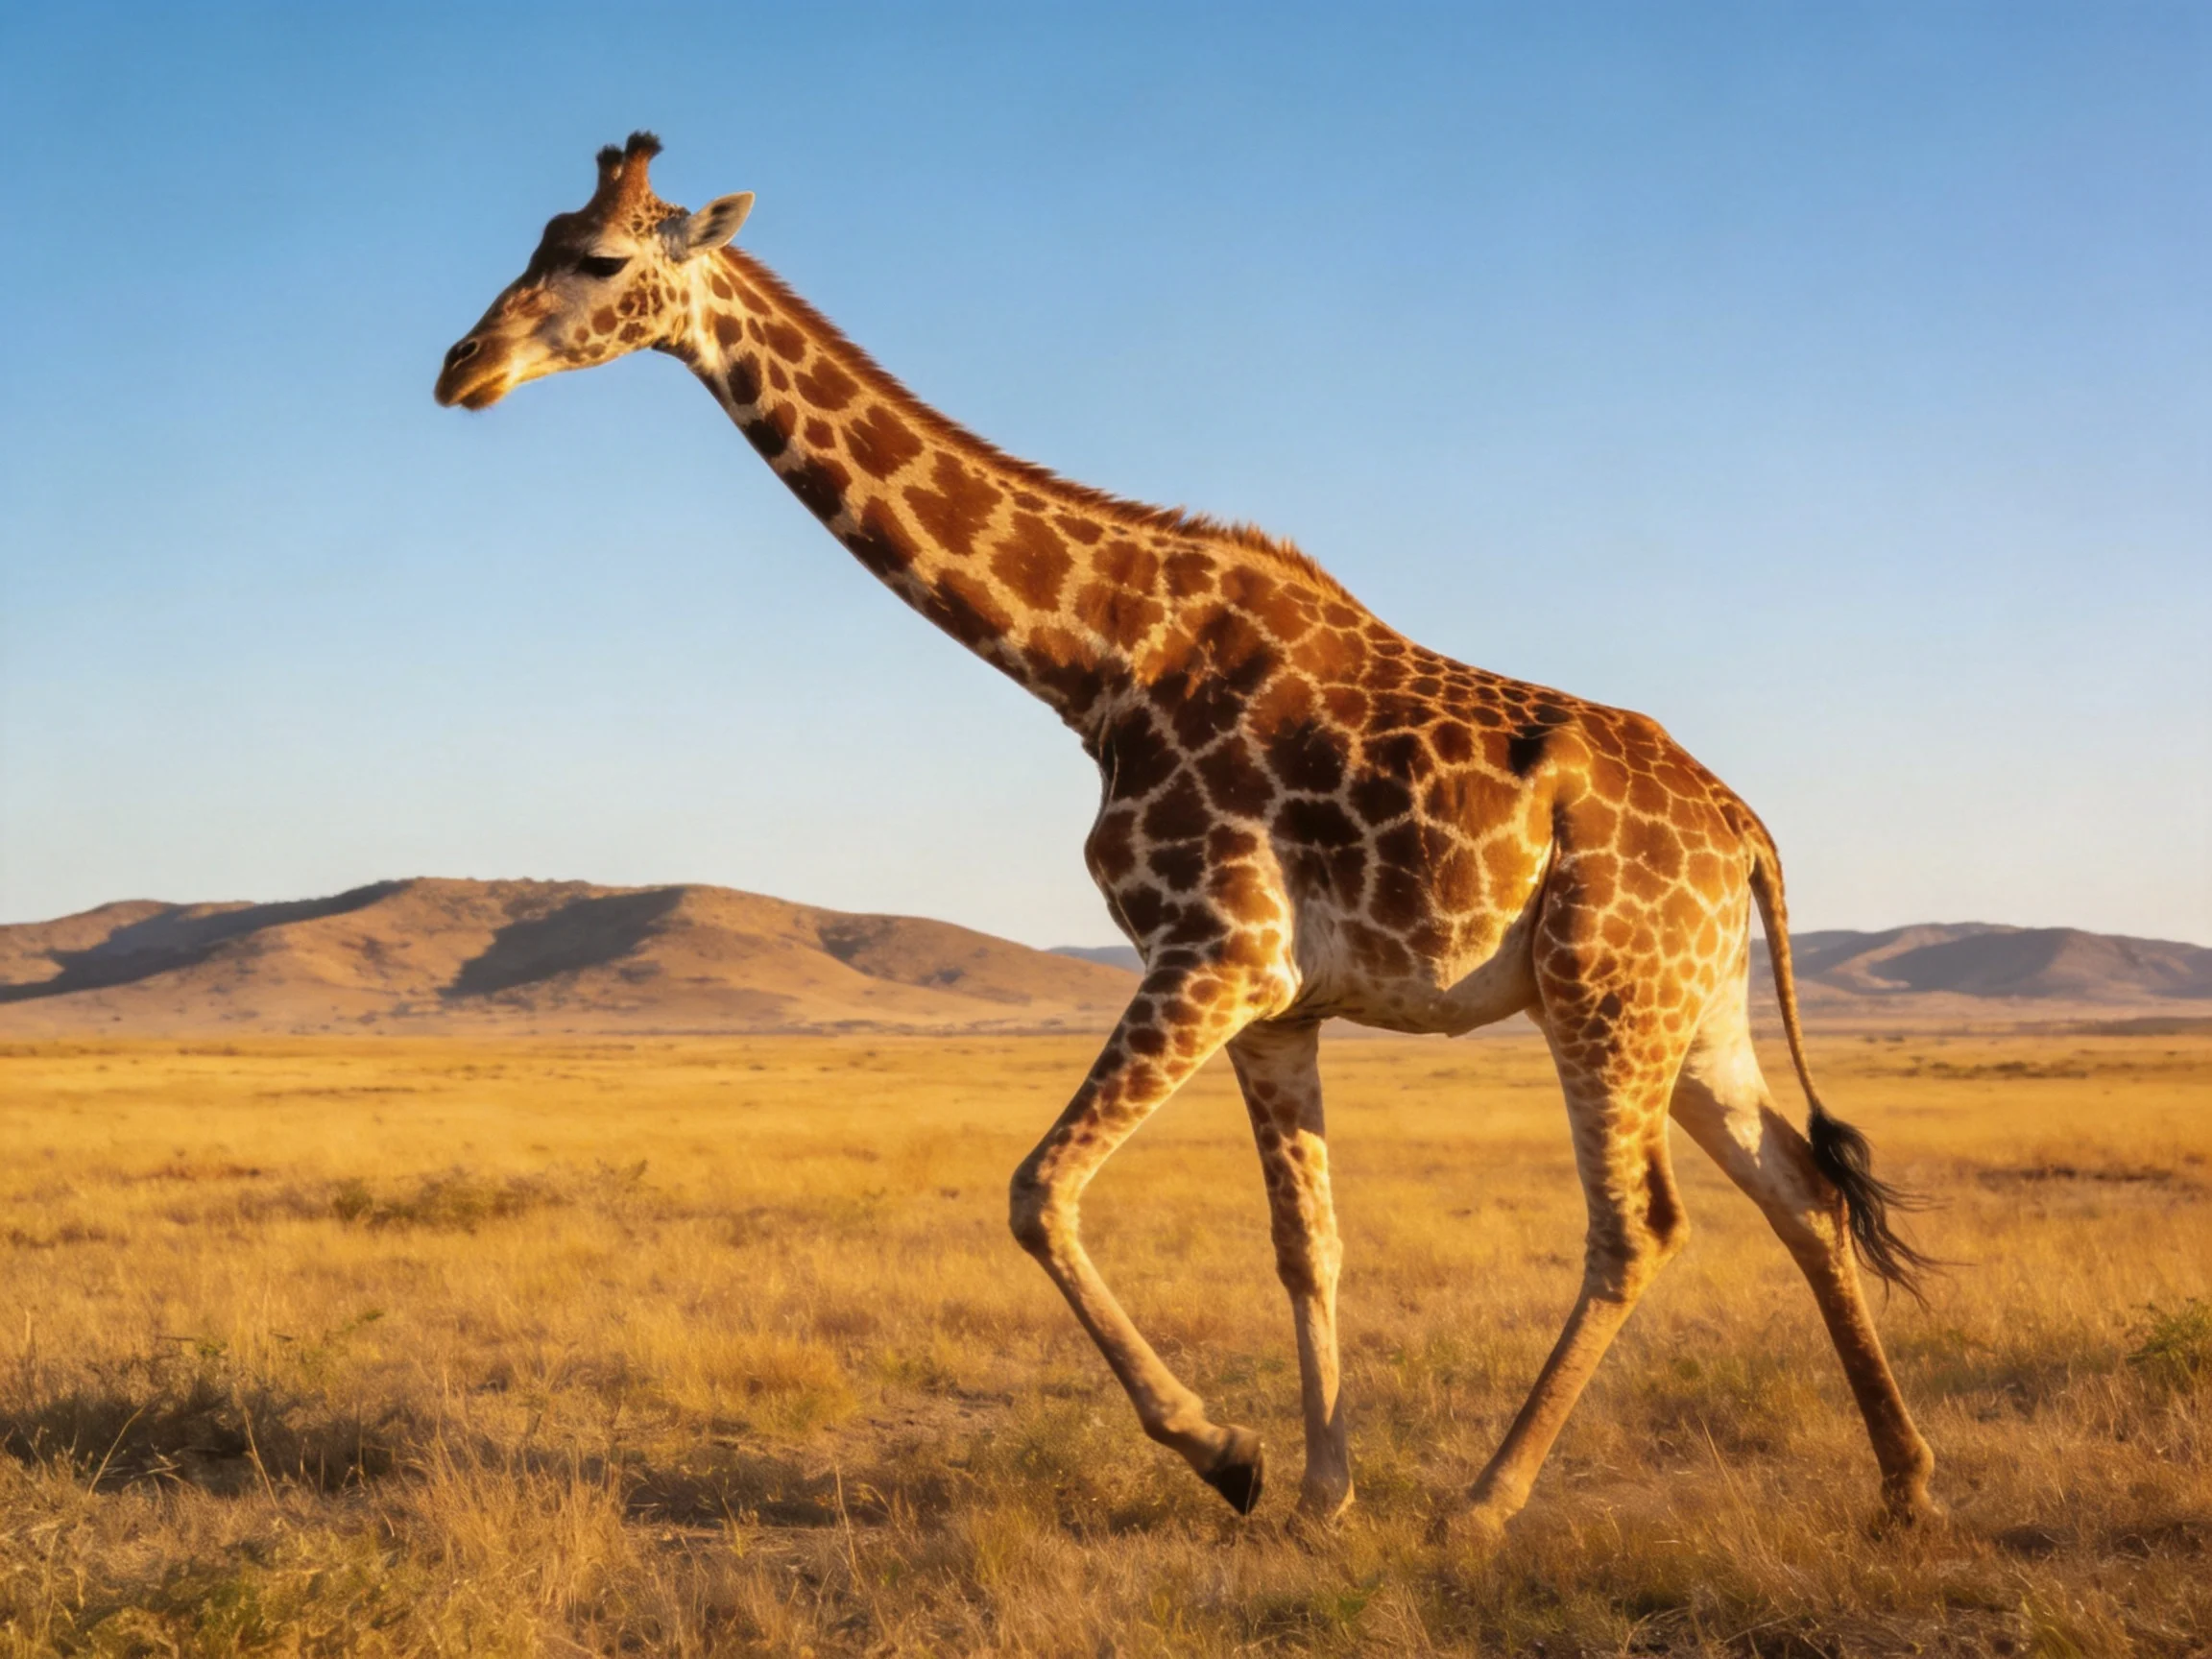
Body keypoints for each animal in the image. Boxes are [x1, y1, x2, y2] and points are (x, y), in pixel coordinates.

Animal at [435, 134, 1938, 1536]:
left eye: (601, 260)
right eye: (538, 241)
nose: (461, 366)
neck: (1095, 661)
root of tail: (1745, 827)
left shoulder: (1215, 954)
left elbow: (1038, 1191)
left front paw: (1228, 1456)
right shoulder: (1280, 1005)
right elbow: (1306, 1244)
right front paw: (1324, 1491)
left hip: (1601, 991)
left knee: (1639, 1228)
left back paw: (1486, 1502)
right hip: (1696, 1007)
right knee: (1799, 1191)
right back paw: (1907, 1484)